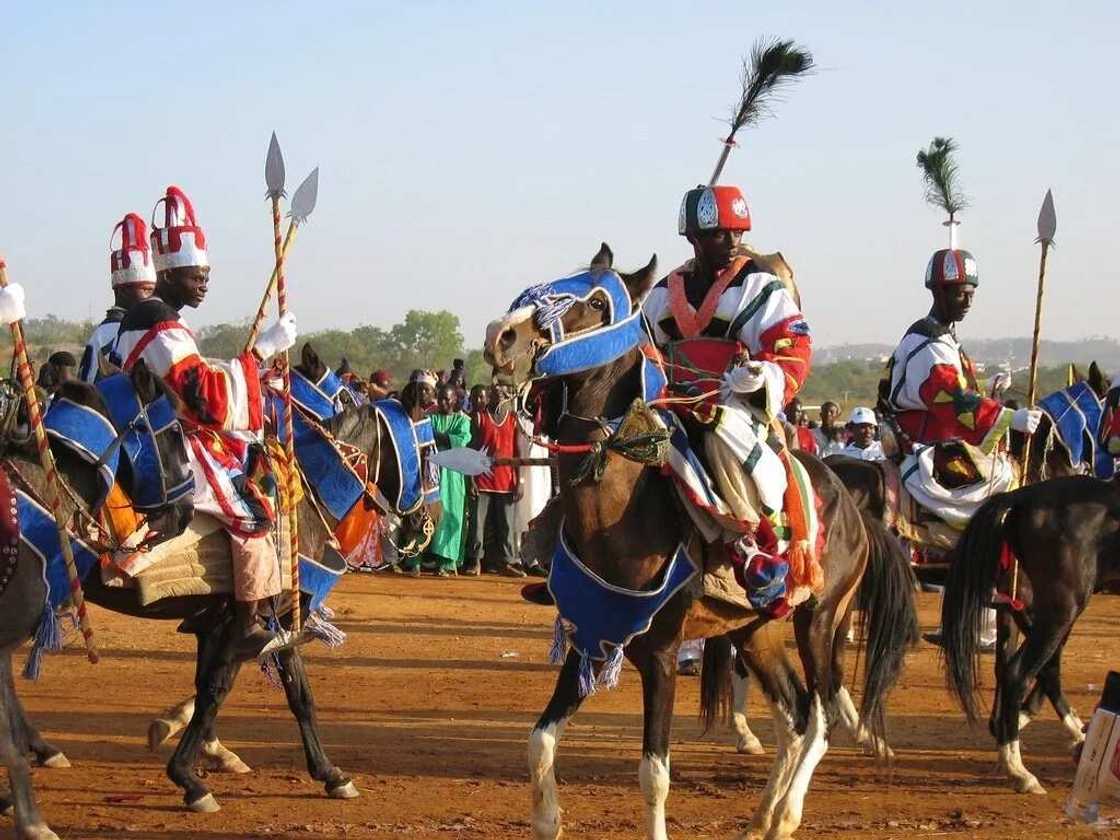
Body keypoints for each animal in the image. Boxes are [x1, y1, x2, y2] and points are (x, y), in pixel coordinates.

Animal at [483, 245, 918, 840]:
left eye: (595, 301)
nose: (501, 335)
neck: (617, 510)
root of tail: (856, 511)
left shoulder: (661, 655)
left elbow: (654, 774)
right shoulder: (588, 637)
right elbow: (539, 743)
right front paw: (548, 817)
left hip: (821, 620)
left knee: (822, 715)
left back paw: (786, 814)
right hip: (756, 633)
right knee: (795, 714)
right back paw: (762, 816)